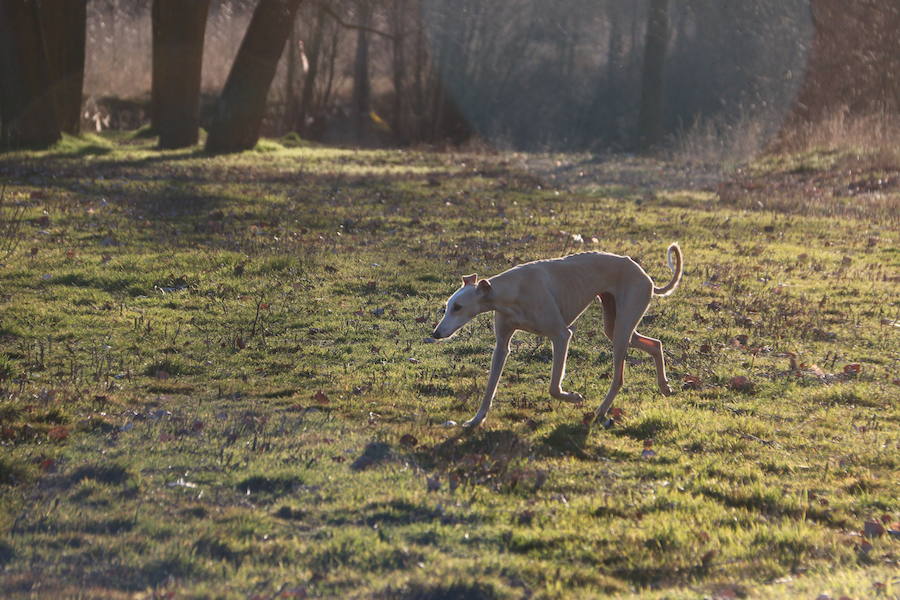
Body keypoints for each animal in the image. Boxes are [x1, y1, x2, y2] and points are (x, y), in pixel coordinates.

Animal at [430, 241, 684, 428]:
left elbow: (553, 386)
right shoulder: (502, 344)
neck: (512, 290)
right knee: (655, 344)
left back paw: (600, 411)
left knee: (619, 378)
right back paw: (665, 387)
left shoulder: (562, 335)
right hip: (615, 326)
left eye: (458, 307)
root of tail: (642, 272)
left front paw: (574, 397)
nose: (436, 333)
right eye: (447, 306)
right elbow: (490, 387)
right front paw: (476, 420)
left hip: (622, 329)